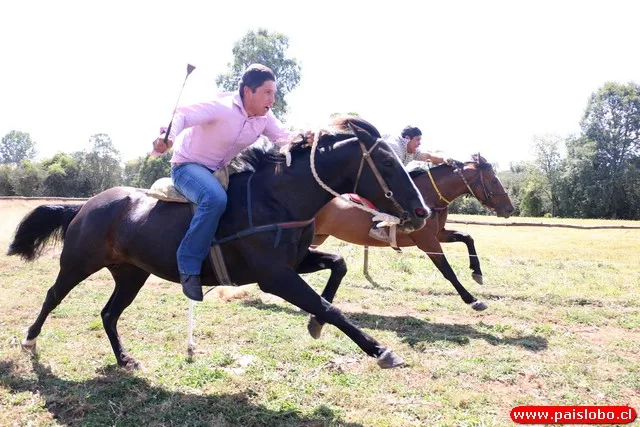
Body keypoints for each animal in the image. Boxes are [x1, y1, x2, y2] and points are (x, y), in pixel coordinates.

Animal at [7, 122, 428, 370]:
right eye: (387, 163)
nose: (421, 211)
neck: (276, 198)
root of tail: (84, 206)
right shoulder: (275, 277)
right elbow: (331, 307)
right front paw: (380, 350)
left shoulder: (296, 262)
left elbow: (338, 265)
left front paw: (314, 324)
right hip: (78, 264)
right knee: (53, 296)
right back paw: (29, 340)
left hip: (131, 274)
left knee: (109, 314)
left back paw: (125, 360)